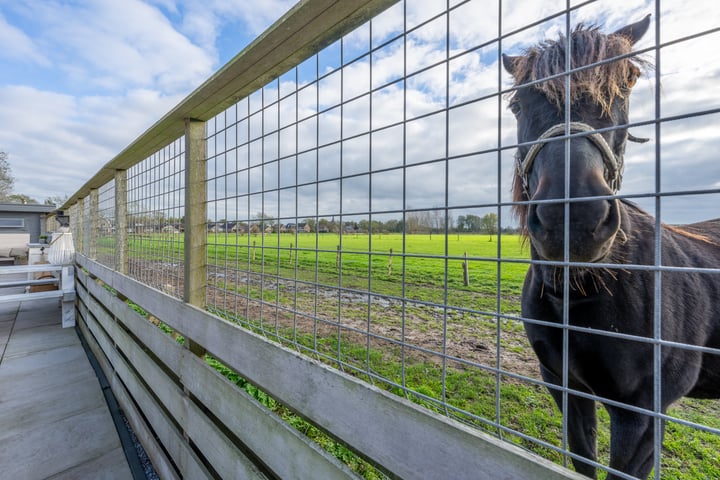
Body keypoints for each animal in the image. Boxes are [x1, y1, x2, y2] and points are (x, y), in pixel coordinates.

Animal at [504, 15, 716, 480]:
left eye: (629, 82)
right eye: (516, 105)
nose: (574, 219)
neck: (578, 293)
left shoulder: (643, 417)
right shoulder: (564, 387)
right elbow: (582, 458)